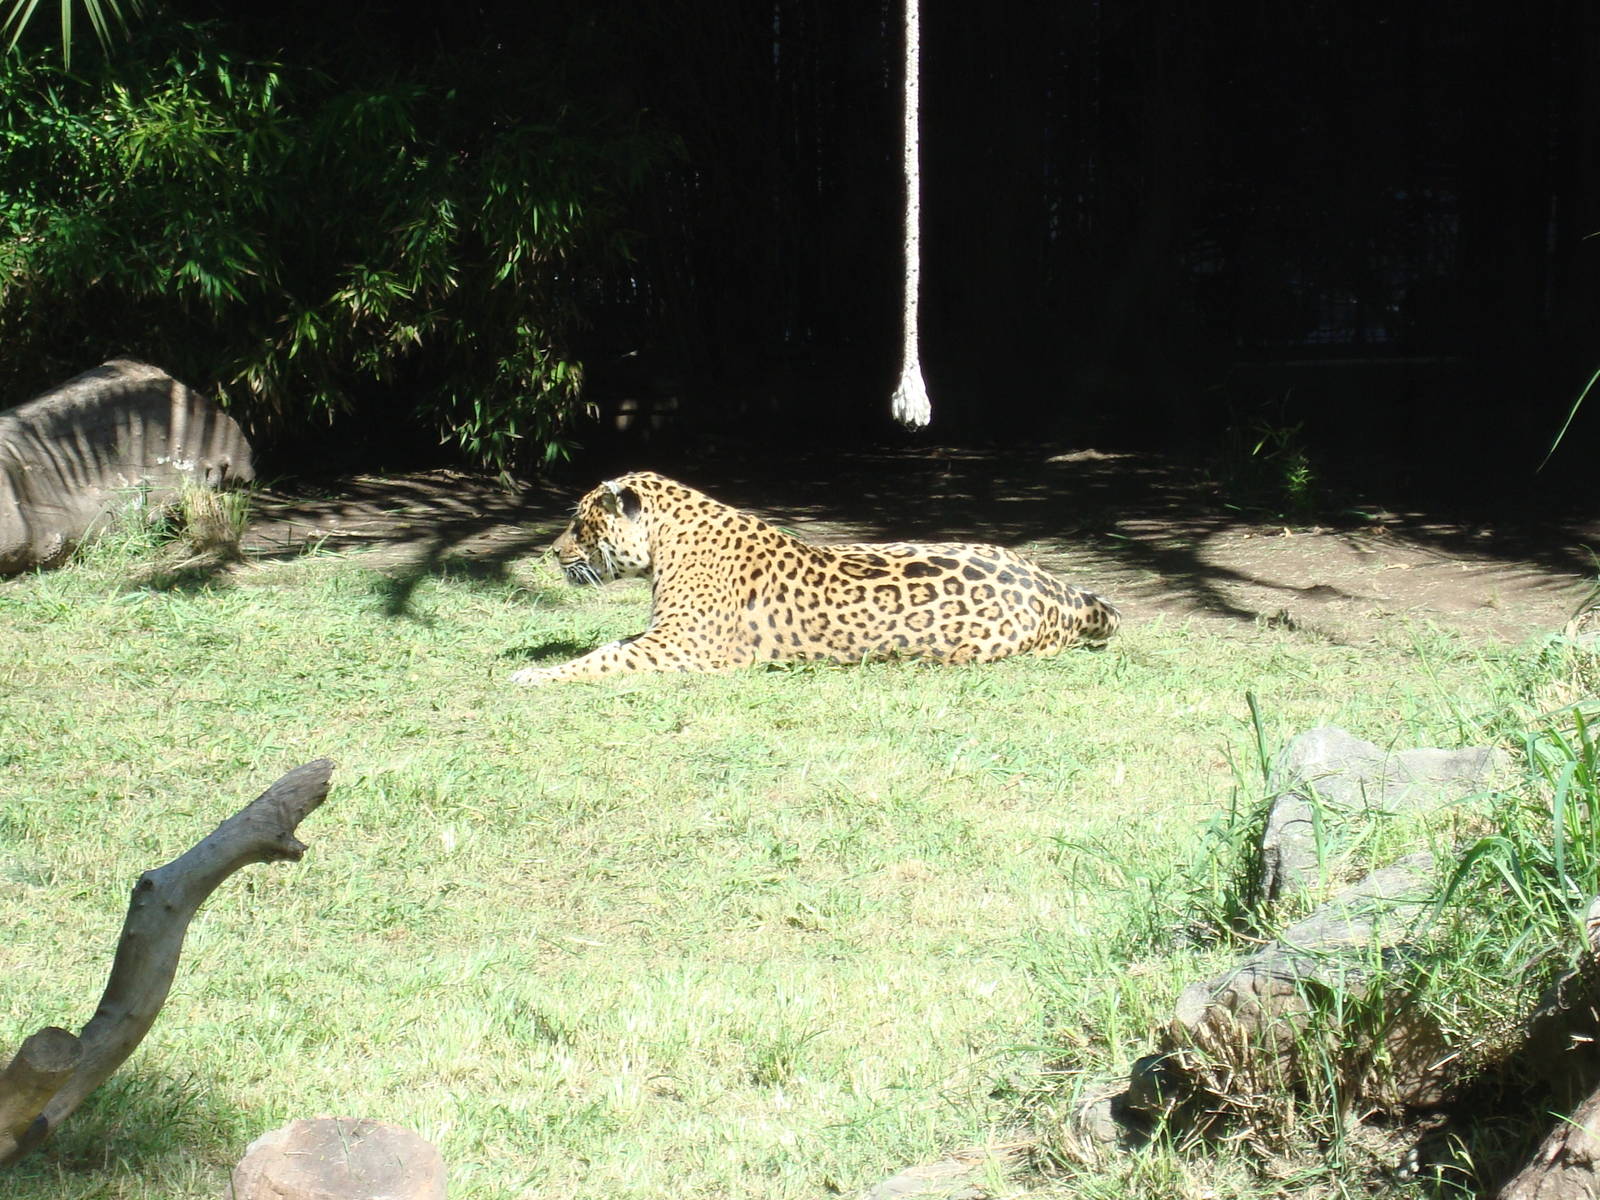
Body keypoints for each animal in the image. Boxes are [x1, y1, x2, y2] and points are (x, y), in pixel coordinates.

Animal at [510, 471, 1120, 685]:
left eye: (579, 523)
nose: (552, 552)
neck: (668, 541)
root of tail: (1059, 589)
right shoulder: (664, 636)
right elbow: (606, 646)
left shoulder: (681, 646)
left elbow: (600, 661)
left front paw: (535, 676)